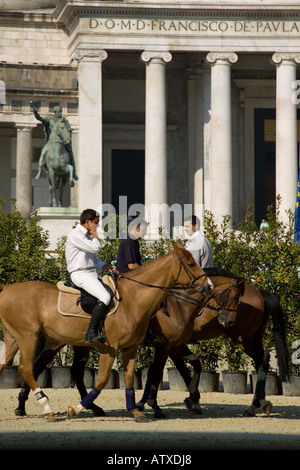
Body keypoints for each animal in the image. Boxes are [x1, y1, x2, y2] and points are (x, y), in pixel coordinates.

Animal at [0, 242, 213, 422]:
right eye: (191, 263)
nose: (209, 286)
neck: (134, 298)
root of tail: (8, 288)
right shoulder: (112, 348)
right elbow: (103, 380)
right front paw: (75, 409)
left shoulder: (132, 347)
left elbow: (130, 378)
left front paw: (135, 410)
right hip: (29, 337)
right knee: (27, 368)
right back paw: (46, 408)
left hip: (18, 339)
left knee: (10, 365)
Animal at [137, 268, 290, 418]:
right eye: (234, 297)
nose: (229, 320)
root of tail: (259, 291)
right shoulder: (170, 345)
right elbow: (162, 370)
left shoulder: (168, 345)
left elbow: (159, 372)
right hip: (253, 337)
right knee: (262, 360)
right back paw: (258, 403)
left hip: (243, 339)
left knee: (261, 360)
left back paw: (256, 404)